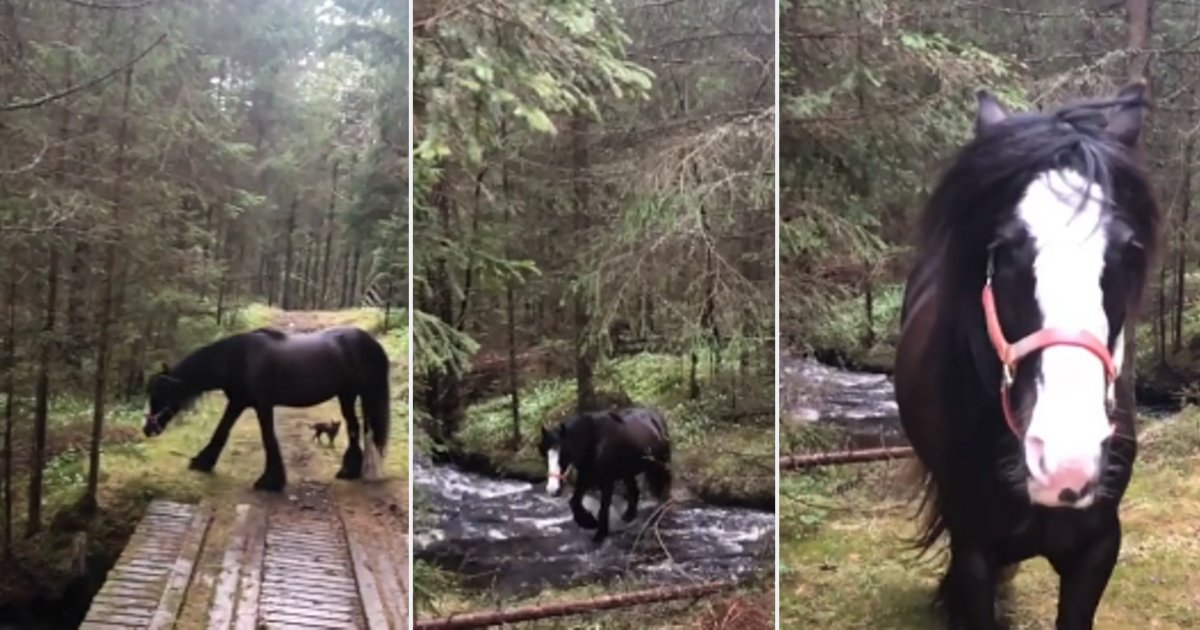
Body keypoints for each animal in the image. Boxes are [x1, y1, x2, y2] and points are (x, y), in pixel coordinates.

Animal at [142, 324, 391, 492]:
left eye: (160, 395)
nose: (148, 429)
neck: (240, 359)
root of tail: (373, 344)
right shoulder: (238, 402)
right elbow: (221, 431)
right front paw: (202, 462)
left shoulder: (262, 404)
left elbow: (268, 438)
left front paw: (270, 481)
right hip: (346, 395)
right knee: (353, 427)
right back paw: (350, 471)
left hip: (359, 394)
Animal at [537, 405, 672, 542]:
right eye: (544, 455)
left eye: (564, 454)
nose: (553, 490)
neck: (594, 442)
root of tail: (655, 416)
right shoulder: (585, 478)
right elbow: (574, 502)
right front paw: (589, 522)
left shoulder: (606, 481)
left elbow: (603, 507)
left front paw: (600, 533)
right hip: (627, 471)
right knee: (634, 491)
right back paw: (629, 515)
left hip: (661, 463)